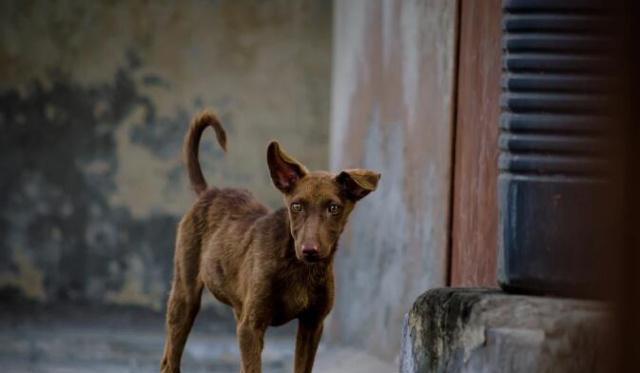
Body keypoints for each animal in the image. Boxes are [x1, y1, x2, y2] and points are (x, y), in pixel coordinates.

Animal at [160, 111, 380, 372]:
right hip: (185, 295)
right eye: (296, 206)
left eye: (334, 208)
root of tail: (209, 192)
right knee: (170, 360)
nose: (309, 251)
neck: (299, 267)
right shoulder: (251, 327)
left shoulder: (312, 325)